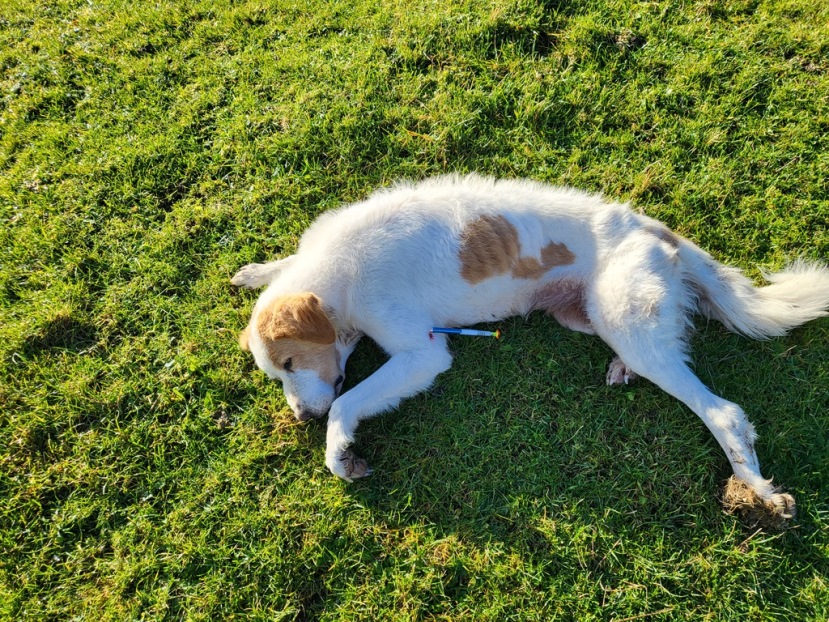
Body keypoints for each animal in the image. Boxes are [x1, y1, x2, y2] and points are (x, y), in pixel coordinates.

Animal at [231, 176, 828, 528]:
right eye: (276, 375)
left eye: (289, 364)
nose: (301, 418)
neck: (338, 272)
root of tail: (656, 228)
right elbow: (282, 267)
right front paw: (258, 269)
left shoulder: (422, 352)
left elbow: (346, 400)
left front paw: (337, 448)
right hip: (590, 315)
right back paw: (622, 369)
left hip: (624, 319)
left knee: (724, 413)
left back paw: (760, 490)